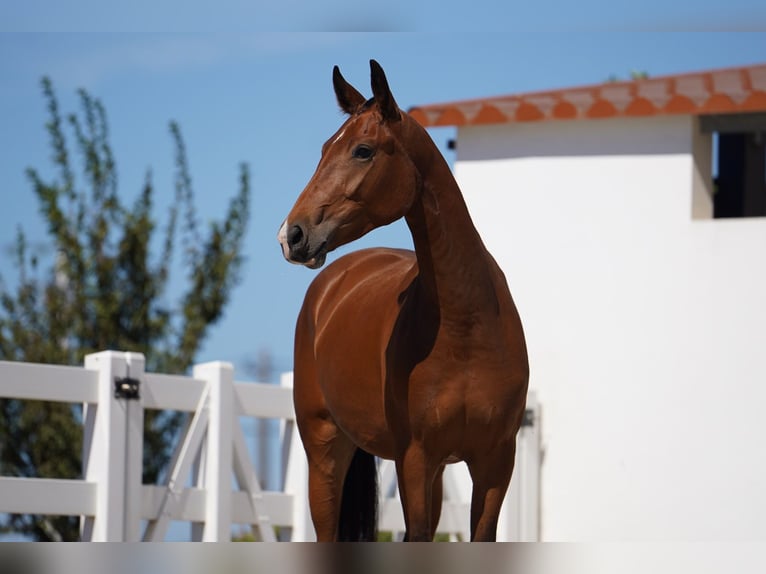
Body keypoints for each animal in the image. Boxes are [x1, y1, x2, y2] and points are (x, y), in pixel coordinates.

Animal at [280, 63, 532, 544]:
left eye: (362, 150)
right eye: (323, 149)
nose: (292, 234)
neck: (467, 326)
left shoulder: (496, 463)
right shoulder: (415, 459)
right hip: (324, 451)